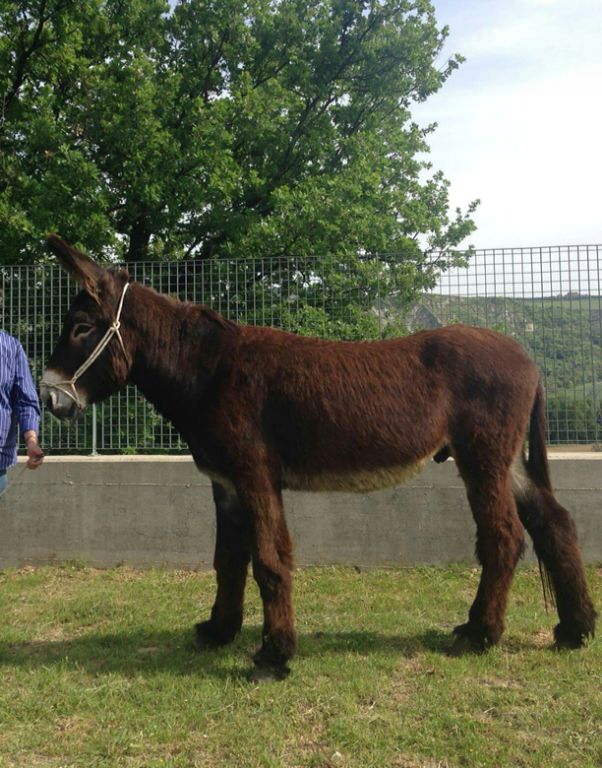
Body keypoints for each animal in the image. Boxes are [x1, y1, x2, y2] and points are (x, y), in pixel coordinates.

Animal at [40, 235, 596, 681]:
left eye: (81, 327)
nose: (47, 398)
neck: (210, 371)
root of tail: (525, 354)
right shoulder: (225, 482)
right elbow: (227, 560)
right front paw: (219, 631)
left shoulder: (256, 475)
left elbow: (269, 560)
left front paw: (274, 657)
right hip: (506, 460)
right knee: (555, 522)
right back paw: (576, 628)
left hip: (481, 457)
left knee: (504, 537)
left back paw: (480, 634)